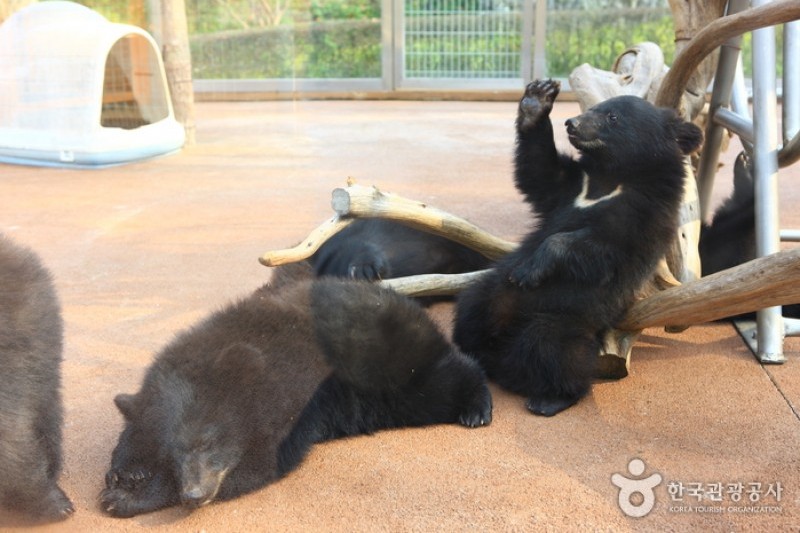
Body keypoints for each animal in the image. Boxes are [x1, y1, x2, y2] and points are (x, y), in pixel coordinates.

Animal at [100, 262, 491, 518]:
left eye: (208, 443)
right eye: (171, 452)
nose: (194, 494)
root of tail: (393, 294)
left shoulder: (292, 398)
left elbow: (261, 466)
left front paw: (133, 494)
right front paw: (124, 472)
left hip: (388, 362)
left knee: (440, 383)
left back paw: (476, 406)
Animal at [453, 79, 703, 416]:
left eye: (612, 117)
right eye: (593, 107)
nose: (571, 123)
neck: (610, 177)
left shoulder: (644, 213)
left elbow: (605, 250)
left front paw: (530, 270)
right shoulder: (570, 185)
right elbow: (539, 173)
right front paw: (537, 99)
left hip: (568, 318)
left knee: (552, 351)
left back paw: (550, 398)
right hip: (492, 294)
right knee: (472, 307)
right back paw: (475, 349)